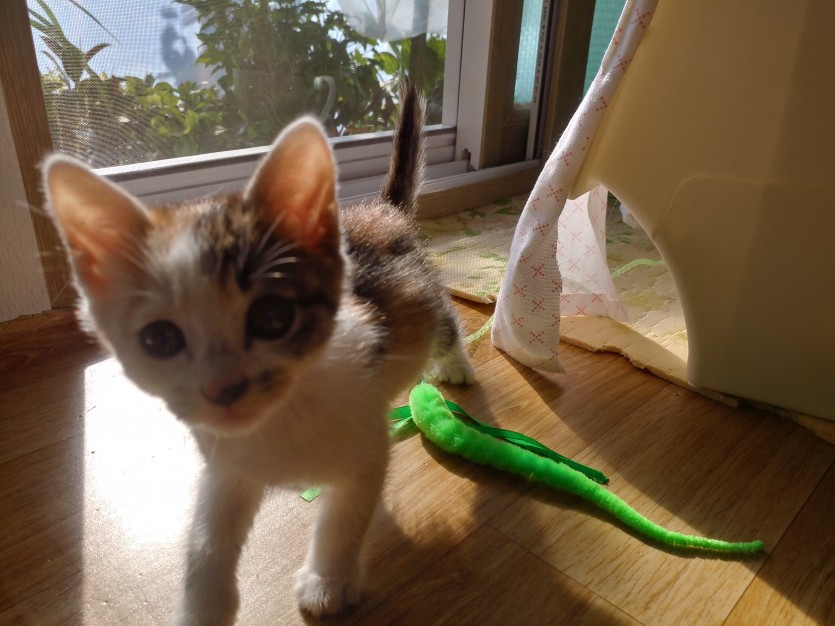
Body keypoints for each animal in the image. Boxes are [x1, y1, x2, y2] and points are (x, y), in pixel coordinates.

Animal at [43, 81, 475, 623]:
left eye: (272, 318)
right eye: (159, 339)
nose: (223, 388)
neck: (279, 419)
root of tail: (381, 211)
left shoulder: (366, 443)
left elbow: (345, 517)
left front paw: (328, 582)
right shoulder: (228, 463)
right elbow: (206, 538)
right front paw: (204, 606)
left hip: (424, 301)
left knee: (444, 316)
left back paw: (457, 364)